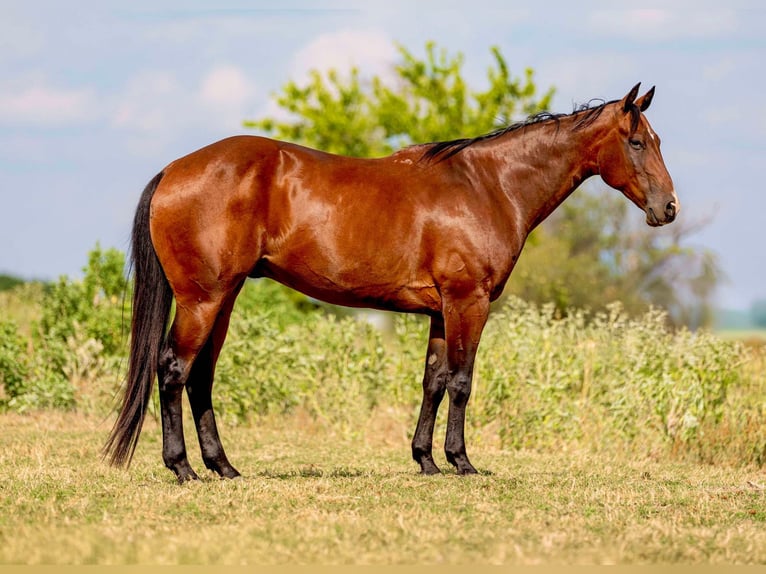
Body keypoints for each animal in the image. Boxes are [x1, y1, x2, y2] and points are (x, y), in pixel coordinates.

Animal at [102, 83, 680, 484]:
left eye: (657, 140)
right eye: (635, 142)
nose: (668, 208)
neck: (488, 185)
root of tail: (174, 170)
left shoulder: (441, 311)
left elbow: (433, 381)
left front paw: (426, 461)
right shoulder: (468, 302)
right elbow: (462, 381)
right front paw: (462, 462)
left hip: (222, 300)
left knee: (200, 377)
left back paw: (224, 467)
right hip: (203, 299)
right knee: (173, 369)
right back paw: (182, 468)